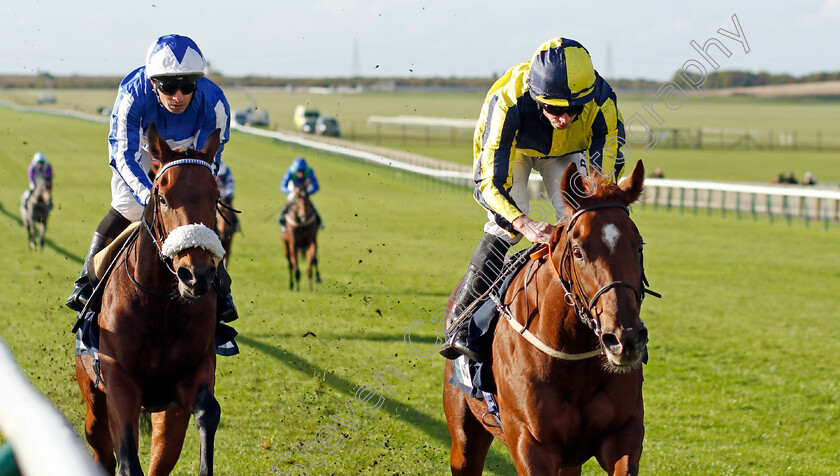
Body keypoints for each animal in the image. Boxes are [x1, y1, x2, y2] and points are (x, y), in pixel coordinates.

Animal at [75, 123, 225, 476]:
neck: (161, 307)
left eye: (215, 198)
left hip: (168, 416)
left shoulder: (195, 371)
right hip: (93, 403)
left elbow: (208, 411)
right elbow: (128, 460)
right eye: (163, 198)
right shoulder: (119, 382)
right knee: (102, 451)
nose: (195, 275)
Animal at [442, 162, 652, 474]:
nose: (623, 339)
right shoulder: (531, 443)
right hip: (465, 434)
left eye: (638, 247)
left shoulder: (623, 434)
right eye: (578, 251)